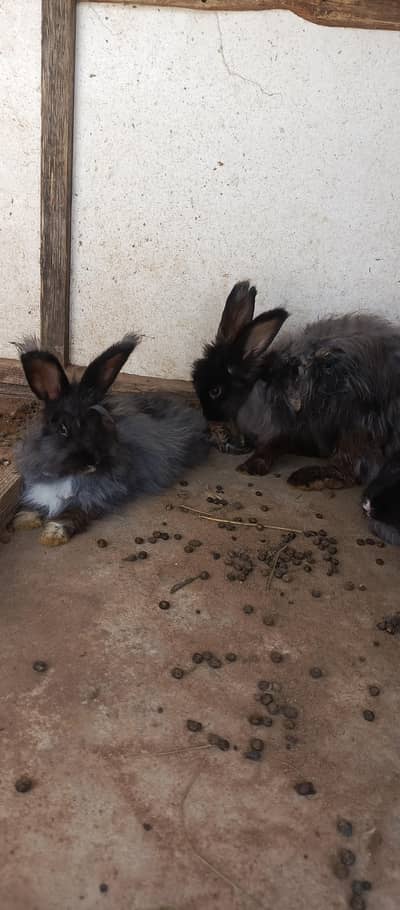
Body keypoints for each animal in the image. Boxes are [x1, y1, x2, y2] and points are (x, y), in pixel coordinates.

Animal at [13, 335, 209, 546]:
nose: (92, 461)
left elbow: (72, 513)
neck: (70, 475)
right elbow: (34, 504)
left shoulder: (96, 497)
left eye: (100, 424)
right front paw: (23, 521)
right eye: (63, 428)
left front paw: (53, 535)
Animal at [192, 280, 400, 487]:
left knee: (349, 473)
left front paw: (251, 466)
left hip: (354, 427)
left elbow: (273, 446)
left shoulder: (284, 427)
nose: (208, 416)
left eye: (215, 391)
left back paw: (304, 478)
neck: (253, 389)